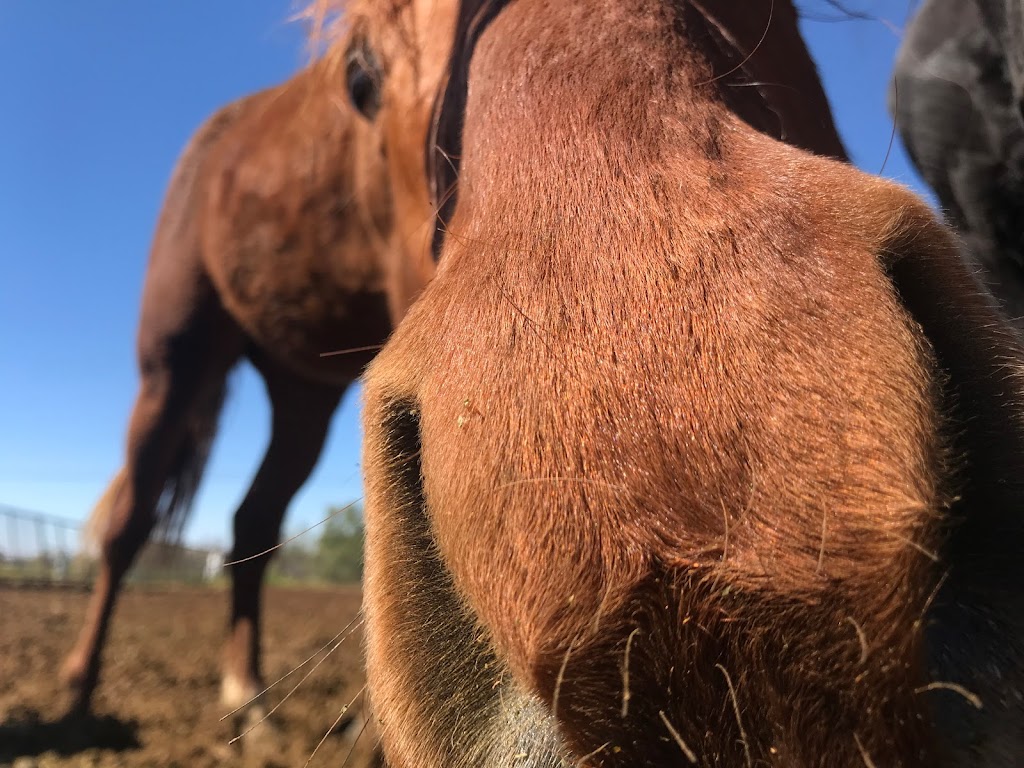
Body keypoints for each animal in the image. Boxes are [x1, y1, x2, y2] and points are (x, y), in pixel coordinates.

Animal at [59, 45, 428, 720]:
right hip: (173, 368)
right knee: (129, 526)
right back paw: (79, 687)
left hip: (303, 391)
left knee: (252, 522)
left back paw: (247, 693)